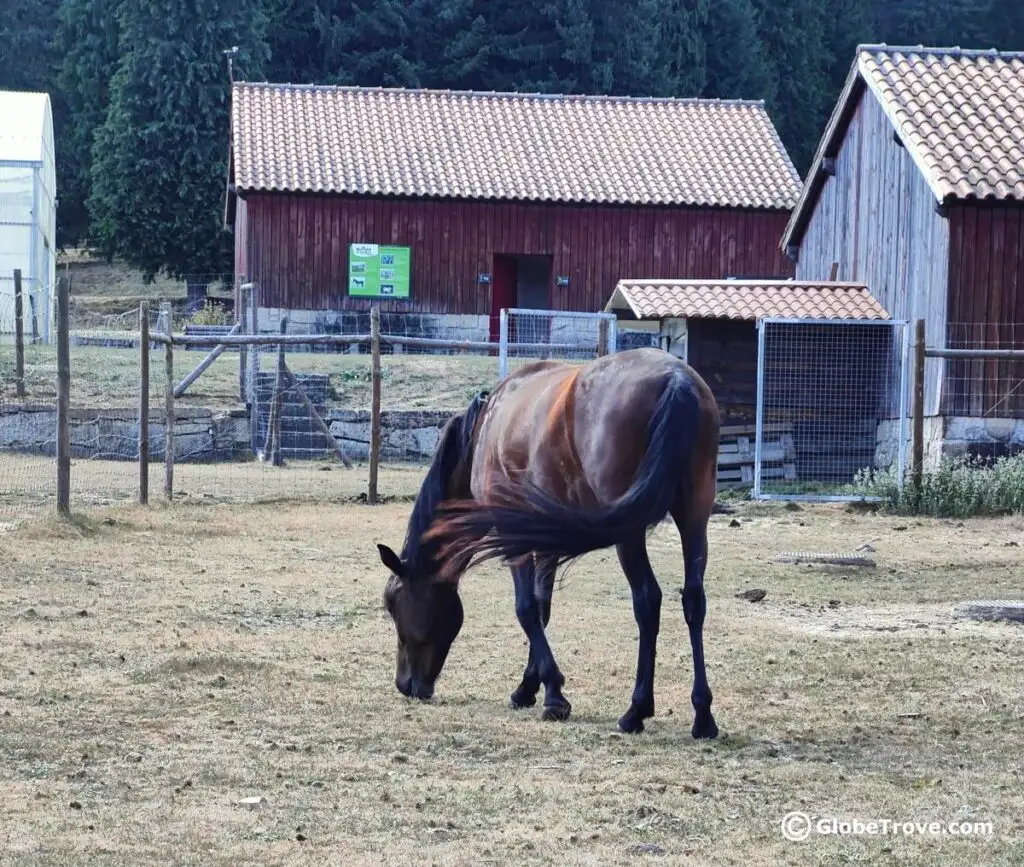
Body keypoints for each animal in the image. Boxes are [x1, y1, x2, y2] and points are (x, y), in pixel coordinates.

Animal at [375, 346, 722, 738]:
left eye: (392, 604)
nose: (406, 685)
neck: (484, 430)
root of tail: (676, 380)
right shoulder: (545, 538)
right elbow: (542, 607)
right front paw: (529, 687)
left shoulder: (512, 534)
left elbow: (526, 607)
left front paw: (554, 694)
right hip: (694, 516)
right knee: (693, 600)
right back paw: (703, 715)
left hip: (631, 530)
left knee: (648, 601)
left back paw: (636, 710)